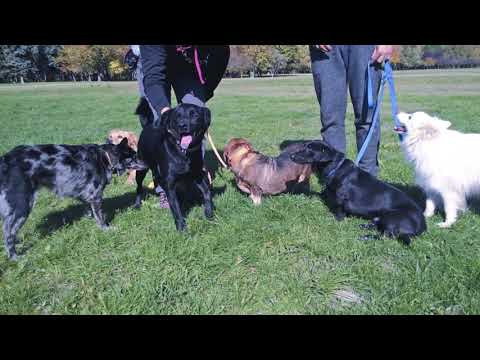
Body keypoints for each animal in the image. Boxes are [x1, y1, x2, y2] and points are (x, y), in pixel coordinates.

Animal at [0, 138, 145, 258]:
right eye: (134, 156)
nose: (147, 163)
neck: (104, 158)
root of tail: (5, 159)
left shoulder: (86, 195)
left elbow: (90, 212)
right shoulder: (96, 196)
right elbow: (100, 217)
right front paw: (105, 229)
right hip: (22, 205)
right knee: (8, 232)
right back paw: (14, 256)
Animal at [133, 100, 212, 232]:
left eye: (195, 115)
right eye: (177, 116)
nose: (182, 125)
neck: (184, 151)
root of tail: (148, 126)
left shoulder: (198, 175)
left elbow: (207, 192)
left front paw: (209, 213)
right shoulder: (170, 185)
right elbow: (176, 209)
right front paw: (182, 228)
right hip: (141, 167)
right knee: (139, 187)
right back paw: (137, 204)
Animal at [290, 141, 426, 245]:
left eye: (309, 148)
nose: (291, 156)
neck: (335, 168)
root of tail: (423, 226)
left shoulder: (340, 198)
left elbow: (338, 212)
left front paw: (335, 220)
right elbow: (319, 194)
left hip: (392, 217)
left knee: (387, 235)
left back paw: (366, 236)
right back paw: (366, 226)